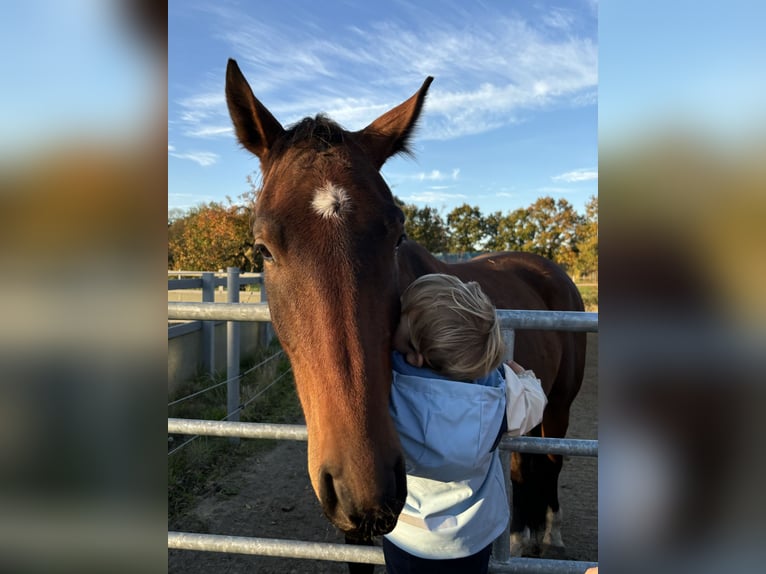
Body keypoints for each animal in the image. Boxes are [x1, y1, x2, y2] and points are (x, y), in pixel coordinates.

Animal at [225, 59, 584, 564]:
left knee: (550, 461)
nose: (367, 490)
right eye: (263, 249)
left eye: (398, 235)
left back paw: (548, 533)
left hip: (561, 406)